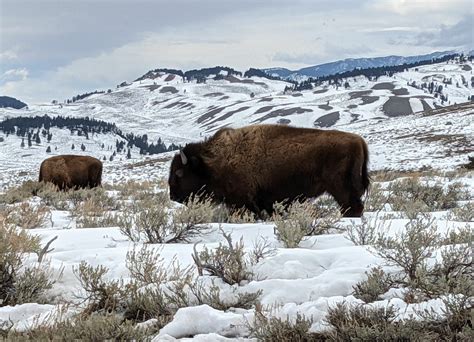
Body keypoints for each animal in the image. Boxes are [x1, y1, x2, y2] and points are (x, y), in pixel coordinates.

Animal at [169, 125, 370, 216]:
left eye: (179, 173)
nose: (172, 196)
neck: (212, 162)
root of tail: (359, 141)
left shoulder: (244, 201)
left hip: (341, 189)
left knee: (352, 207)